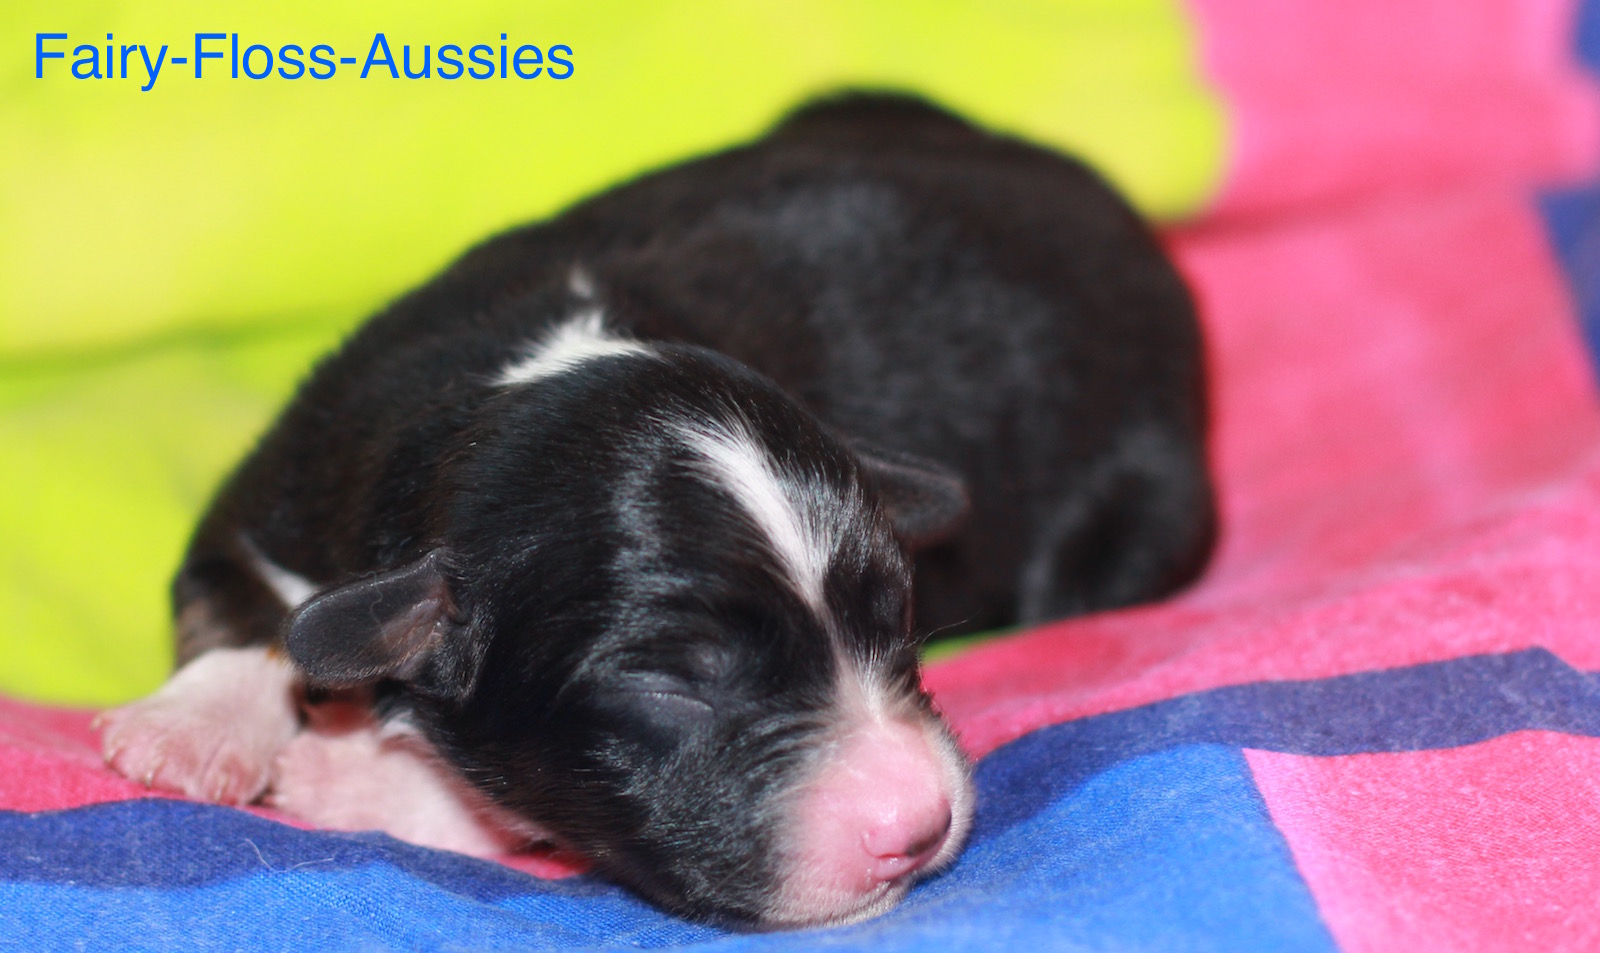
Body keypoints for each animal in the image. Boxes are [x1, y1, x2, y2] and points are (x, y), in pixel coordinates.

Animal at [96, 93, 1209, 927]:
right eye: (673, 686)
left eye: (896, 617)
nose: (920, 823)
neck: (518, 380)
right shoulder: (292, 474)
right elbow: (255, 607)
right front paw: (190, 727)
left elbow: (515, 804)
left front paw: (350, 781)